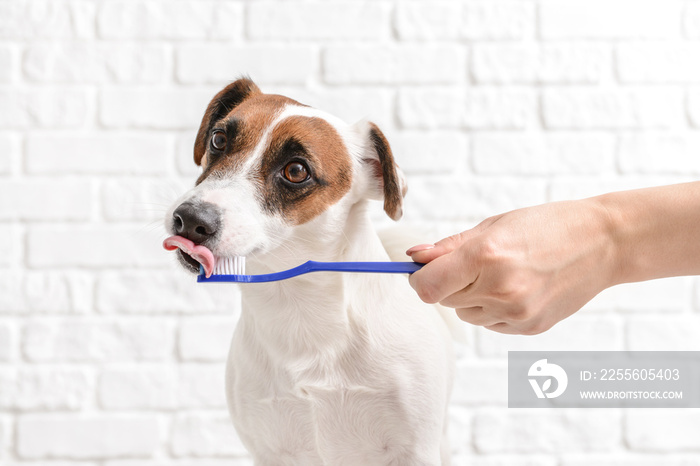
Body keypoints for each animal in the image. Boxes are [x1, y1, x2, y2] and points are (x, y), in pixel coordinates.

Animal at [165, 78, 460, 464]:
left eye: (296, 171)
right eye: (219, 139)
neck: (299, 306)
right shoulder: (268, 450)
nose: (190, 219)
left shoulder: (416, 450)